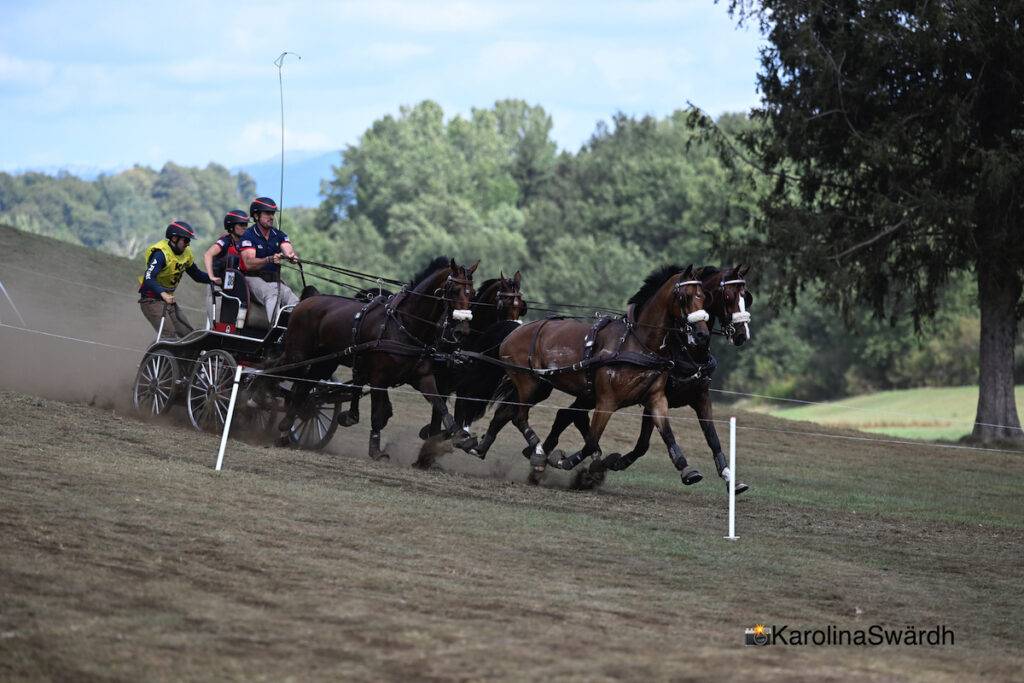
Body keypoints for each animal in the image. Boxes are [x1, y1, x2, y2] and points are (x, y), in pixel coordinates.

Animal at [271, 256, 478, 460]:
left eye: (473, 293)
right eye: (454, 290)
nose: (462, 331)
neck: (403, 325)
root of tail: (307, 300)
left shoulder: (422, 377)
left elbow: (440, 404)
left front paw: (461, 436)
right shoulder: (378, 379)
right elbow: (377, 415)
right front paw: (376, 450)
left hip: (325, 362)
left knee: (303, 388)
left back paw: (285, 427)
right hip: (298, 355)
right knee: (274, 372)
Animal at [461, 264, 711, 485]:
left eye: (703, 296)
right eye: (685, 296)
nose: (702, 335)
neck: (637, 343)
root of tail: (515, 329)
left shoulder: (656, 398)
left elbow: (667, 435)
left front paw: (687, 469)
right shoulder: (606, 401)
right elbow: (591, 441)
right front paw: (565, 461)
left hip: (539, 386)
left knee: (505, 413)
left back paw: (481, 448)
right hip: (527, 382)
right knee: (519, 417)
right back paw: (538, 453)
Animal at [537, 265, 754, 491]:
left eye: (746, 297)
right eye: (728, 296)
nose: (742, 334)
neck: (686, 350)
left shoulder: (699, 397)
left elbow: (713, 438)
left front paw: (730, 478)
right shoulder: (652, 400)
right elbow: (644, 443)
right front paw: (615, 462)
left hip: (589, 394)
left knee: (567, 414)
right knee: (570, 416)